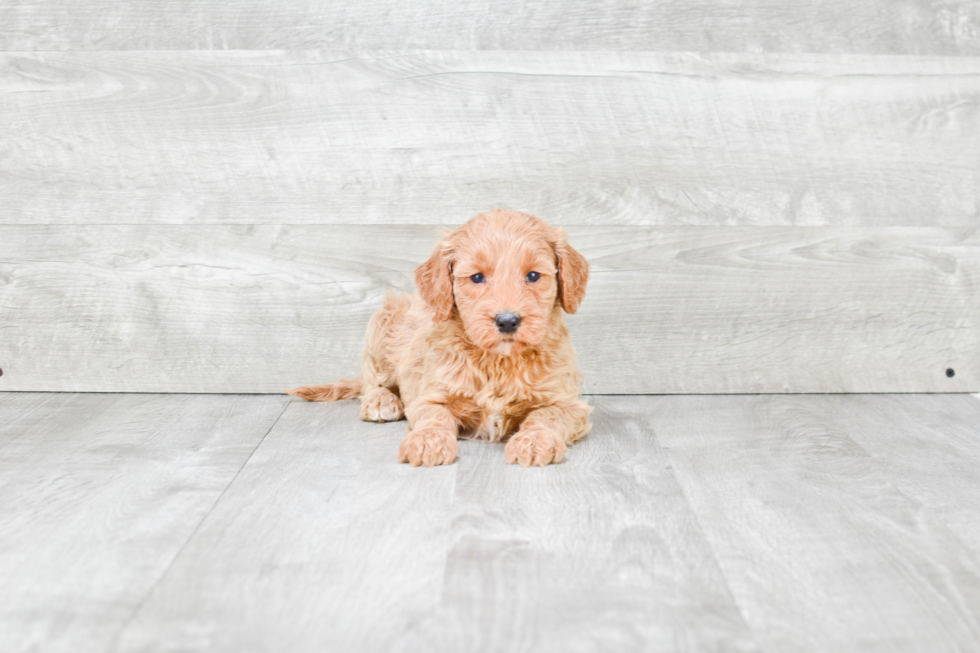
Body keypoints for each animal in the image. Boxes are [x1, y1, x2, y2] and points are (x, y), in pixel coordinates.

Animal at [288, 209, 592, 464]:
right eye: (477, 277)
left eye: (533, 275)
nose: (507, 321)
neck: (497, 361)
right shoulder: (431, 394)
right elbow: (434, 415)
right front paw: (426, 441)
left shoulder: (568, 403)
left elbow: (547, 416)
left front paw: (533, 441)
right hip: (383, 322)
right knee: (371, 380)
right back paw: (381, 401)